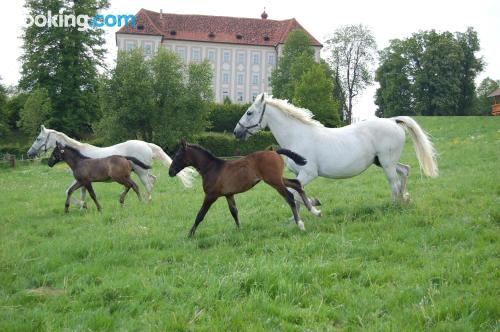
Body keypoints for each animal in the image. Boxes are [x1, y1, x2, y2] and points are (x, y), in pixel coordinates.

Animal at [26, 126, 195, 205]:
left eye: (38, 138)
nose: (29, 153)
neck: (78, 156)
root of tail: (146, 144)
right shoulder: (81, 181)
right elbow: (79, 193)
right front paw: (82, 206)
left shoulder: (81, 179)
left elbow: (70, 191)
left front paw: (80, 205)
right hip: (140, 171)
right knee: (152, 181)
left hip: (140, 172)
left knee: (146, 184)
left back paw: (145, 201)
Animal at [170, 141, 314, 237]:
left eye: (177, 156)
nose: (170, 172)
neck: (212, 168)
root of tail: (274, 151)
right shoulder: (229, 194)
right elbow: (234, 211)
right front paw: (240, 230)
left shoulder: (211, 196)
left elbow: (200, 214)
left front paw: (190, 234)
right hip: (278, 179)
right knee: (297, 184)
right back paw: (312, 210)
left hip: (274, 181)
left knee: (290, 197)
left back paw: (300, 224)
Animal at [234, 94, 438, 218]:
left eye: (249, 112)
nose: (236, 132)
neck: (297, 136)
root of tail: (392, 121)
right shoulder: (298, 175)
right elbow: (296, 194)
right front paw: (297, 217)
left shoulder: (308, 173)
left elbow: (295, 194)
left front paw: (314, 208)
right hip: (383, 162)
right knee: (405, 171)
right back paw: (405, 199)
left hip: (387, 163)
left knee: (394, 183)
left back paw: (394, 206)